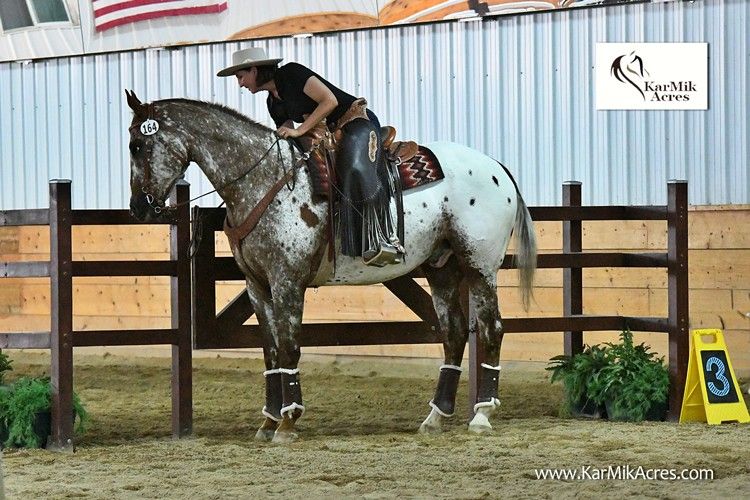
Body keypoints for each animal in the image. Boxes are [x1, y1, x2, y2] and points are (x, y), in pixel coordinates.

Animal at [126, 90, 536, 442]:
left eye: (138, 145)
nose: (139, 208)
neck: (265, 179)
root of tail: (495, 166)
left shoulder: (287, 282)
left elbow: (289, 347)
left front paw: (288, 422)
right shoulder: (258, 286)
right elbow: (270, 350)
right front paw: (268, 420)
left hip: (479, 265)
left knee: (491, 329)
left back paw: (482, 414)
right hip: (442, 268)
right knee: (453, 334)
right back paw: (435, 416)